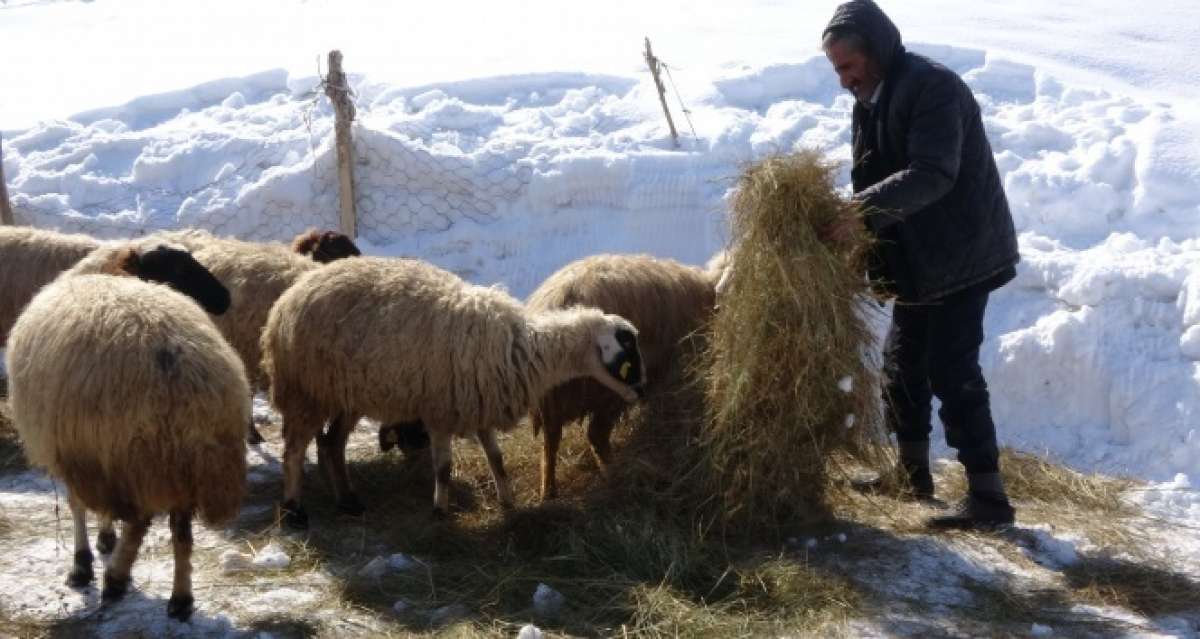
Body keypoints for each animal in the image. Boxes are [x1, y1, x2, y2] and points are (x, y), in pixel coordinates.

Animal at [3, 241, 248, 619]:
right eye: (179, 268)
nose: (225, 298)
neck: (112, 272)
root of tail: (184, 376)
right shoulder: (97, 454)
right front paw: (105, 537)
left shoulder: (77, 447)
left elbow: (77, 505)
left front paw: (83, 563)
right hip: (177, 458)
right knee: (181, 532)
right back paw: (180, 598)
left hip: (138, 449)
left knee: (142, 520)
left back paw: (116, 578)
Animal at [261, 254, 648, 523]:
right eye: (627, 345)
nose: (642, 392)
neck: (522, 349)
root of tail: (286, 301)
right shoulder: (441, 411)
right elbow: (444, 468)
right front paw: (440, 511)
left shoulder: (480, 406)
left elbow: (497, 459)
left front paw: (508, 501)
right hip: (306, 390)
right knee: (294, 449)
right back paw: (294, 510)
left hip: (345, 394)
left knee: (332, 444)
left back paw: (348, 501)